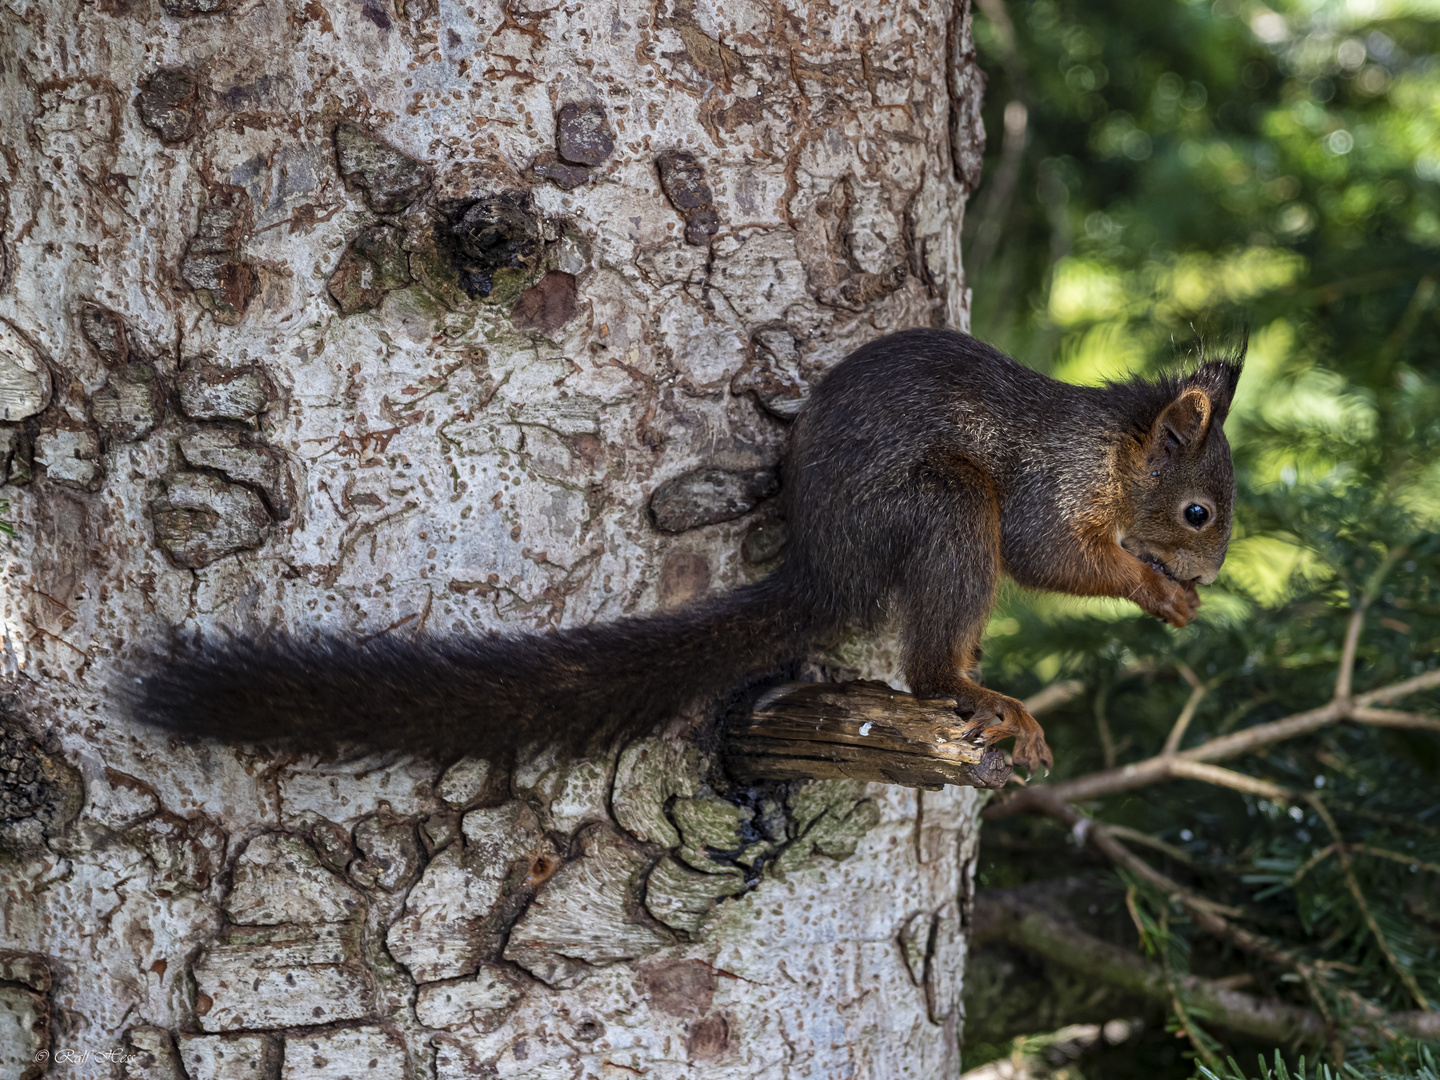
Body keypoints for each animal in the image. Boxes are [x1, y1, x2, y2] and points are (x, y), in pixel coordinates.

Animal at [129, 325, 1244, 771]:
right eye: (1199, 513)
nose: (1211, 571)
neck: (1113, 454)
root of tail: (824, 567)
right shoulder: (1050, 488)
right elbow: (1051, 557)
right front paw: (1158, 592)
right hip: (943, 511)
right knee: (930, 667)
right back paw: (982, 697)